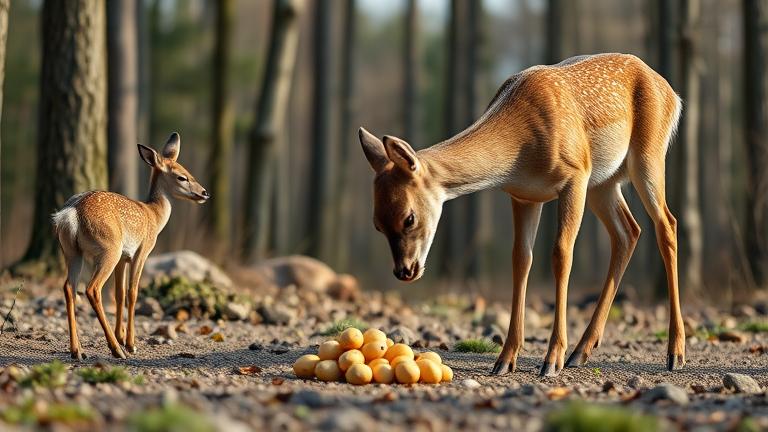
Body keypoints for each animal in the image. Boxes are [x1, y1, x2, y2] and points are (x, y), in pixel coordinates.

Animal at [52, 132, 209, 360]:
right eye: (182, 177)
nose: (205, 193)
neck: (154, 216)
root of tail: (71, 214)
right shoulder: (142, 250)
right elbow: (132, 292)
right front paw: (130, 343)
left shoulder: (124, 258)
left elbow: (119, 294)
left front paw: (121, 335)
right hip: (109, 248)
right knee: (92, 288)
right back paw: (115, 350)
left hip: (73, 251)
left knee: (69, 288)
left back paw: (78, 351)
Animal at [359, 53, 684, 377]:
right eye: (377, 224)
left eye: (409, 217)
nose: (404, 271)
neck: (519, 152)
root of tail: (673, 94)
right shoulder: (523, 195)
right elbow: (521, 260)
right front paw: (505, 359)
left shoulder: (575, 174)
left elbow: (561, 254)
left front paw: (551, 359)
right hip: (603, 183)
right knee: (628, 231)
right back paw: (581, 351)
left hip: (646, 156)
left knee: (666, 224)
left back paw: (674, 353)